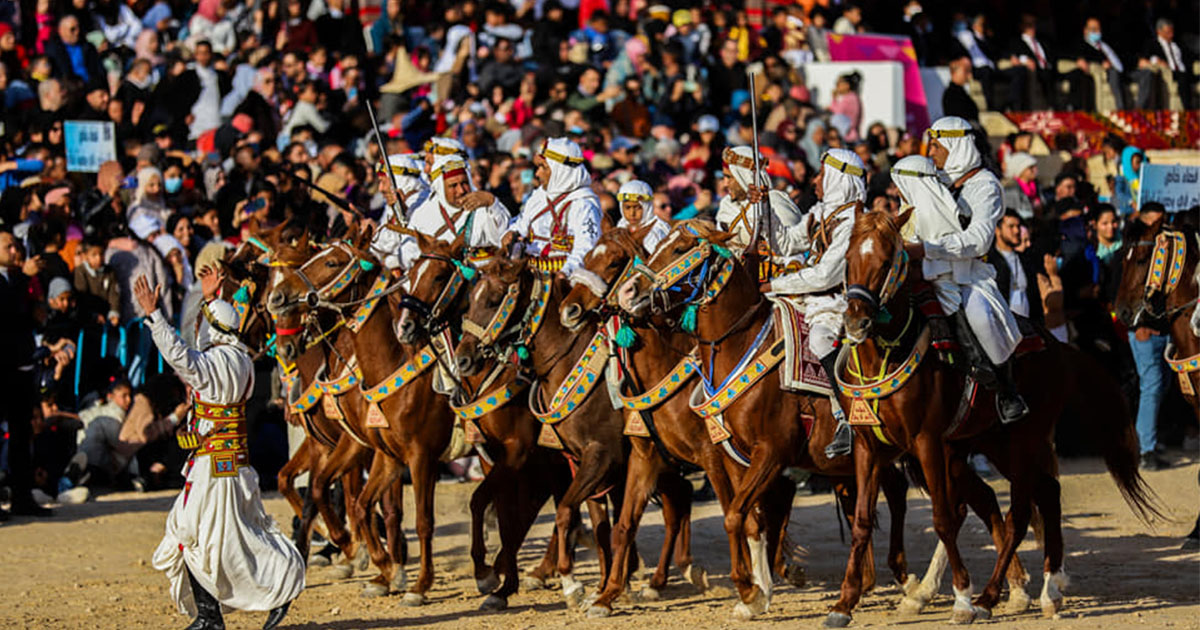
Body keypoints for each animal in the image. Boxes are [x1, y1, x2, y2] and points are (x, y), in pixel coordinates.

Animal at [830, 207, 1156, 624]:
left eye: (887, 260)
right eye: (848, 258)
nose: (857, 323)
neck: (887, 352)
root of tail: (1057, 346)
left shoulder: (926, 443)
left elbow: (942, 518)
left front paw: (962, 597)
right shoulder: (868, 448)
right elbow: (861, 523)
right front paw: (844, 603)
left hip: (1023, 441)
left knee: (1020, 513)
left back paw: (990, 597)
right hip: (993, 443)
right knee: (1045, 494)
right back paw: (1047, 590)